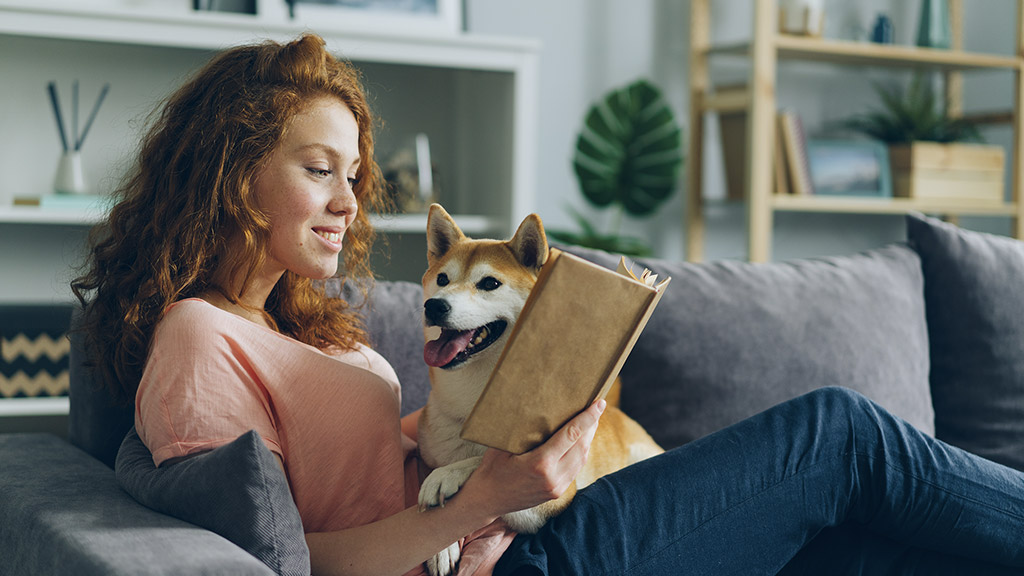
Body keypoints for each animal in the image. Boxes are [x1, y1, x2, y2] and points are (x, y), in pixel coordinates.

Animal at [415, 203, 663, 569]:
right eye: (442, 279)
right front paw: (439, 546)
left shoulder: (549, 499)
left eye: (490, 283)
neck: (472, 411)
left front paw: (446, 476)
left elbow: (482, 466)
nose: (434, 305)